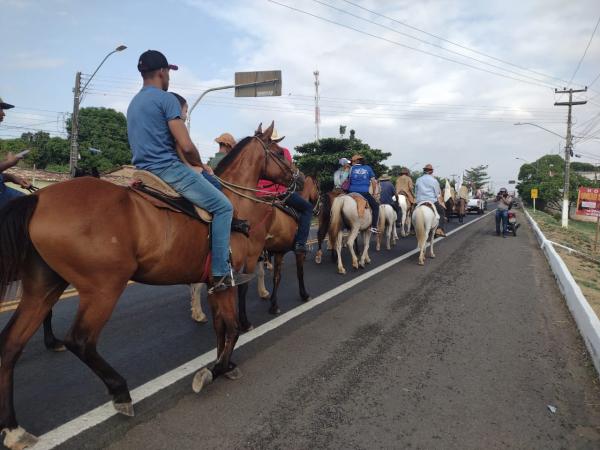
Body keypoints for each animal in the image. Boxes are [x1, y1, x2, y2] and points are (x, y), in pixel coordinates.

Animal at [0, 123, 298, 450]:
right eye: (279, 151)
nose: (296, 177)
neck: (235, 207)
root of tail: (39, 199)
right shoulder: (227, 281)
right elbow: (231, 329)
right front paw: (213, 370)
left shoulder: (215, 284)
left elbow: (221, 328)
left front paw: (226, 364)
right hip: (103, 288)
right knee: (80, 340)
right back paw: (120, 391)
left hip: (43, 287)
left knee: (10, 347)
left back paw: (13, 429)